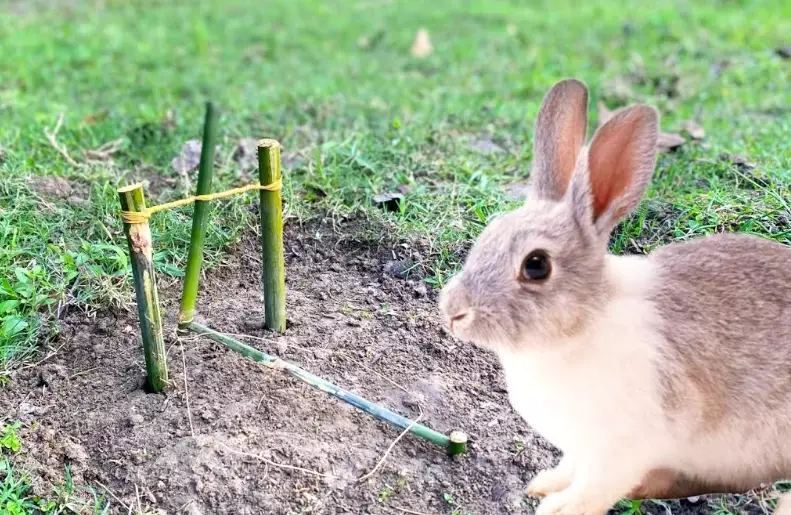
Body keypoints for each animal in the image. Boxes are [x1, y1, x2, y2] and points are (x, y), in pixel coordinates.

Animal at [438, 78, 791, 515]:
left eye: (536, 265)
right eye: (488, 235)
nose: (452, 311)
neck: (583, 325)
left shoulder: (620, 451)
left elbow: (593, 490)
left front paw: (555, 508)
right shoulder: (581, 448)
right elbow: (569, 468)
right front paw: (542, 485)